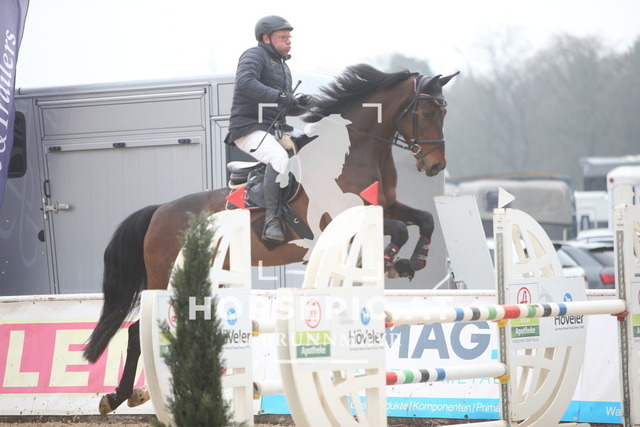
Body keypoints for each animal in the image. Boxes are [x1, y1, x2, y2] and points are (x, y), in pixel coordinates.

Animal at [83, 63, 458, 414]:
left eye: (444, 113)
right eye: (427, 113)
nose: (435, 166)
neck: (358, 153)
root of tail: (159, 211)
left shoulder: (386, 206)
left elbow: (424, 220)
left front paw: (412, 261)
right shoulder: (341, 217)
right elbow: (400, 229)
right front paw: (389, 260)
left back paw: (148, 392)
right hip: (165, 278)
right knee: (137, 331)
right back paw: (120, 396)